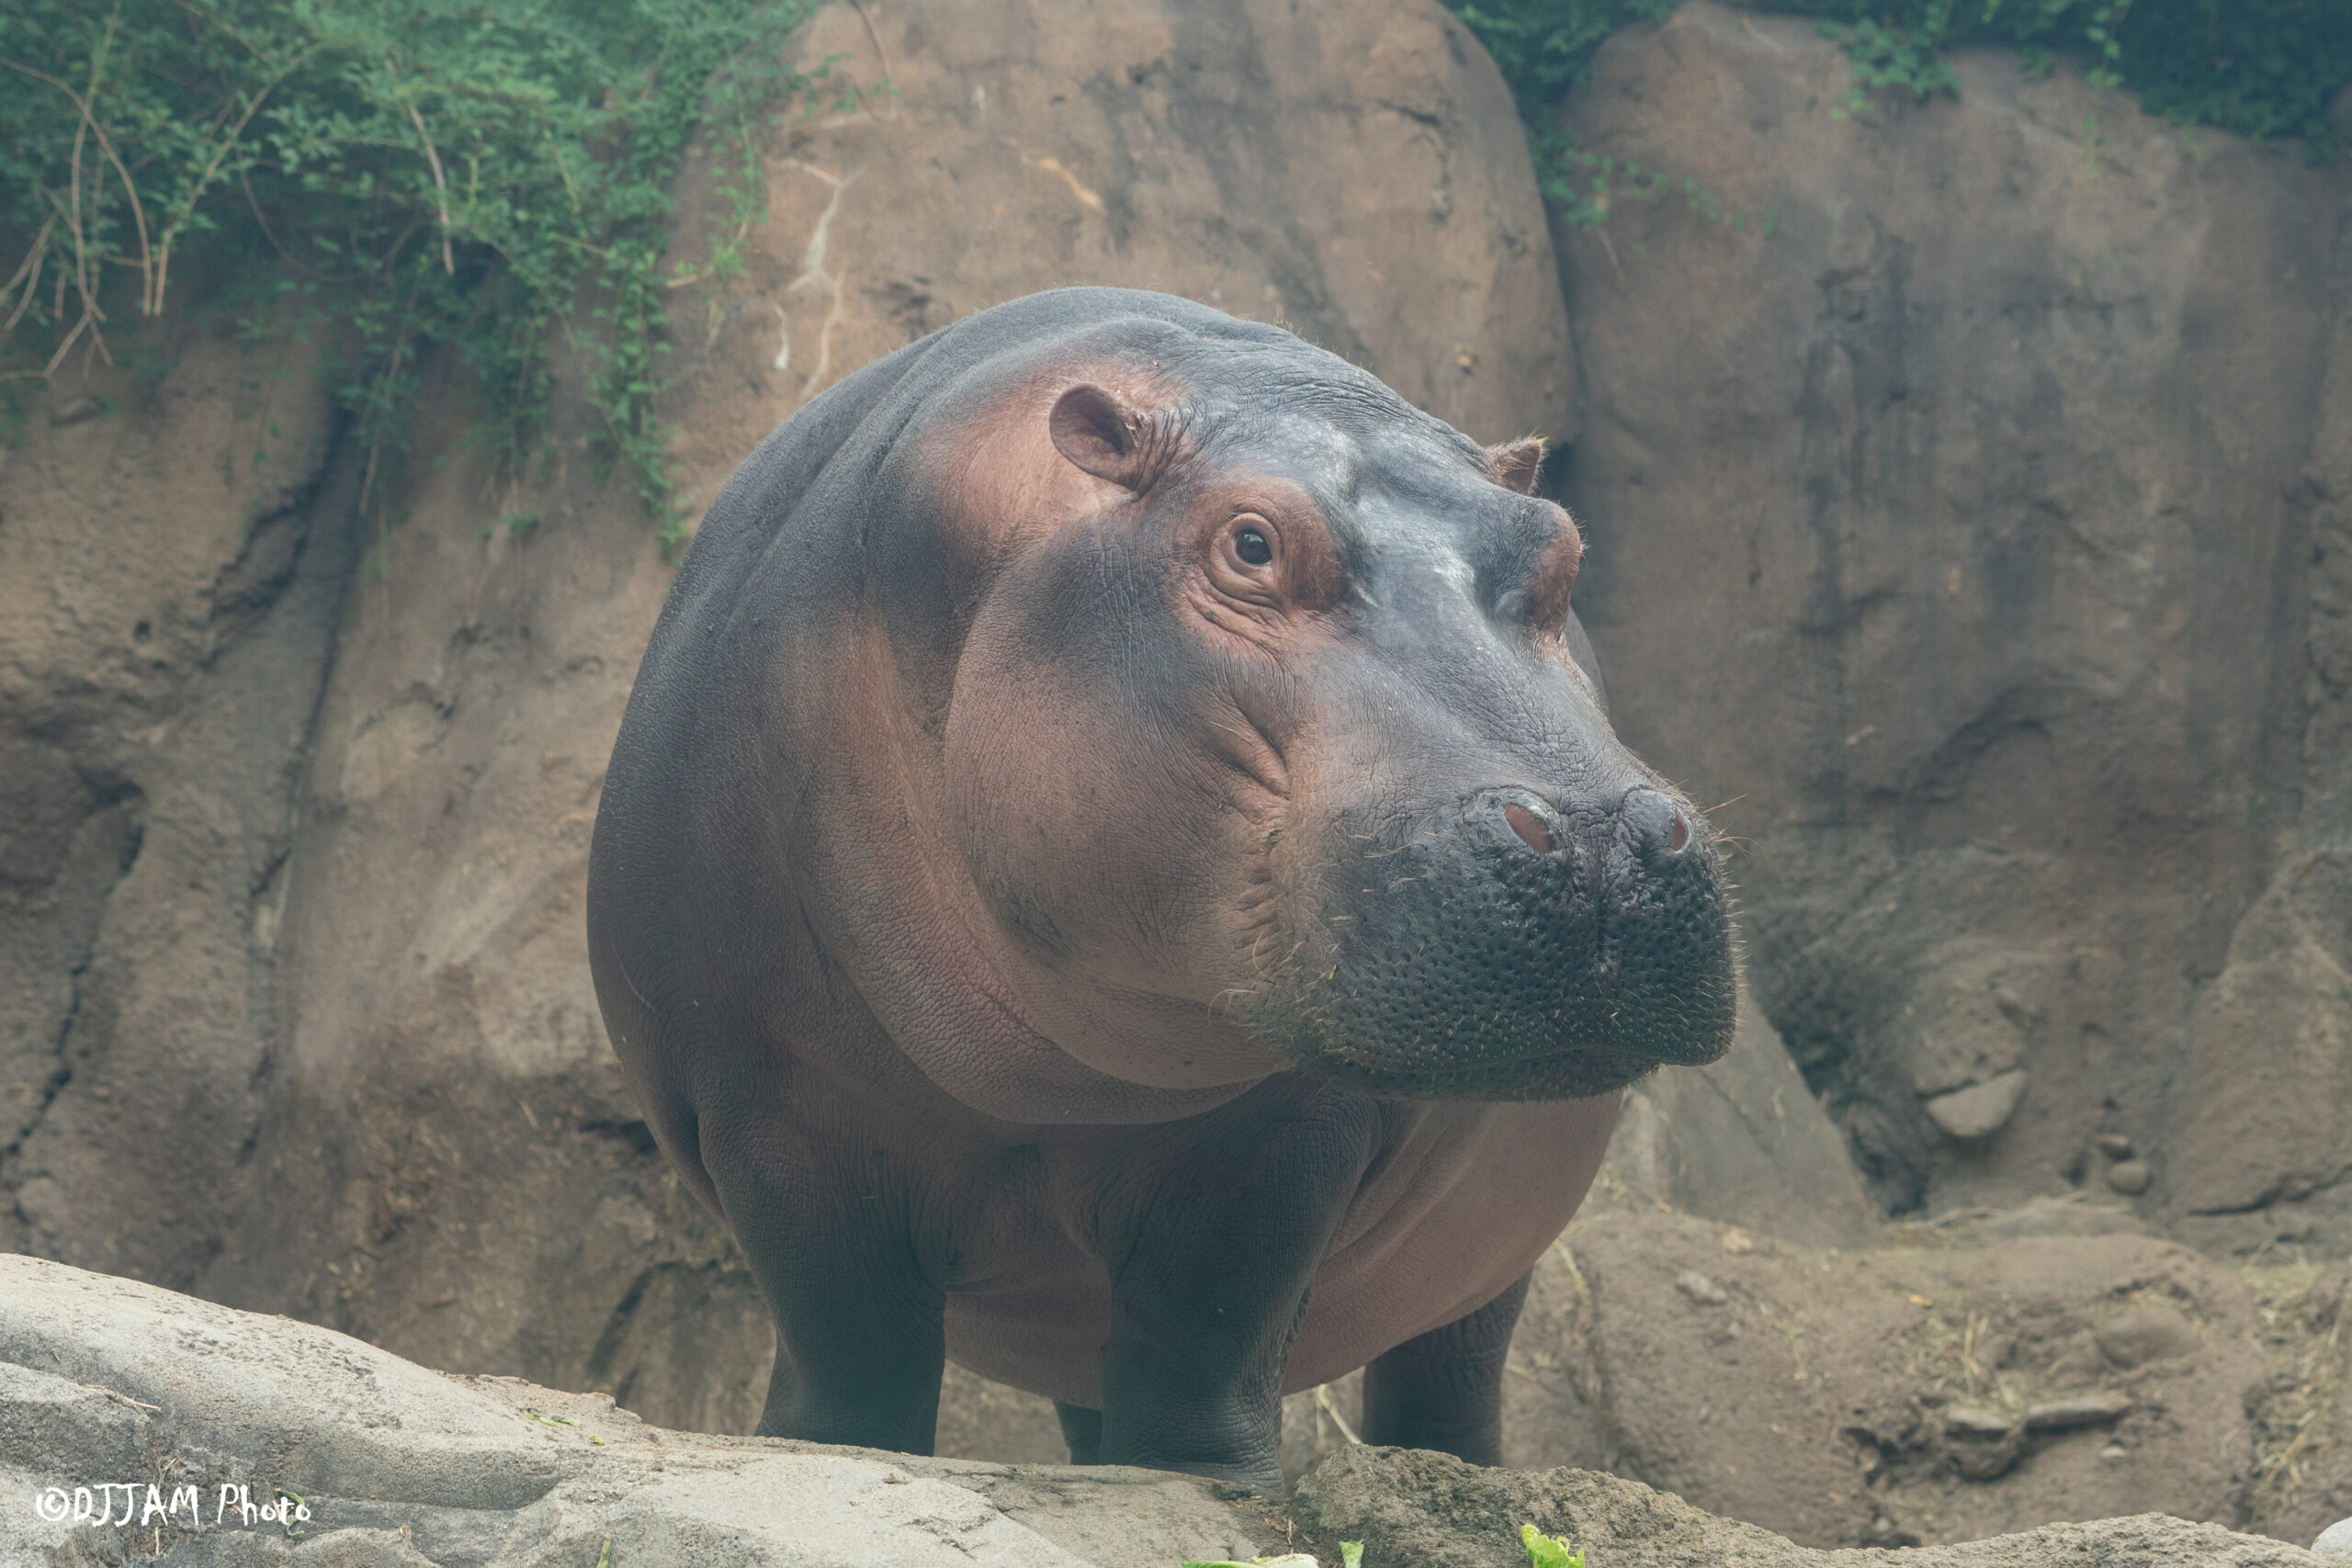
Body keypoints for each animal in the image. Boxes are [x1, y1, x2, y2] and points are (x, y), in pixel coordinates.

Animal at [586, 287, 1734, 1489]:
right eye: (1249, 543)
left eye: (1561, 550)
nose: (1604, 841)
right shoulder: (769, 1102)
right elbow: (847, 1336)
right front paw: (834, 1454)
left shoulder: (1280, 1130)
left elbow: (1211, 1317)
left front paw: (1203, 1481)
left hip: (1486, 1262)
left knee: (1446, 1375)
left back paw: (1450, 1482)